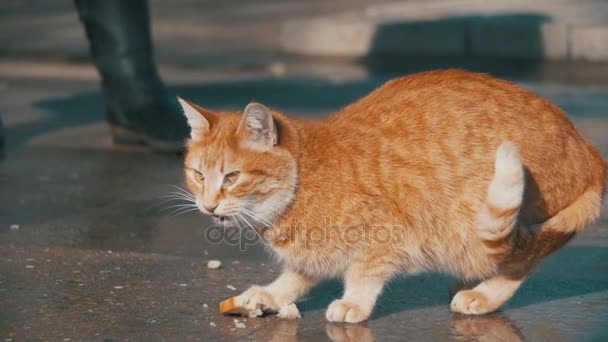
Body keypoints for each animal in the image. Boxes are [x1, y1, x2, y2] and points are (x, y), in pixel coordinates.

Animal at [178, 70, 604, 324]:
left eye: (232, 176)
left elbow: (364, 272)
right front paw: (269, 294)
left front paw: (354, 302)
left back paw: (484, 295)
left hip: (485, 225)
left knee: (522, 259)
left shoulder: (385, 233)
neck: (304, 180)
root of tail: (588, 149)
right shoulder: (313, 252)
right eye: (198, 175)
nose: (208, 205)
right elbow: (296, 276)